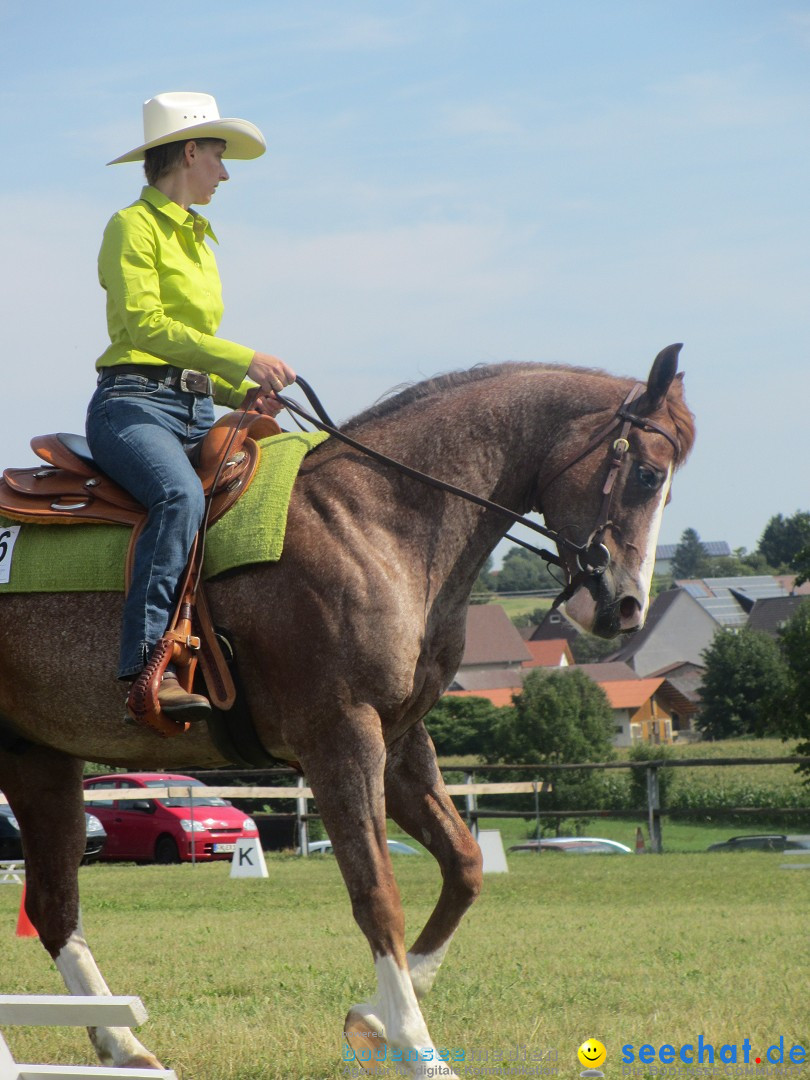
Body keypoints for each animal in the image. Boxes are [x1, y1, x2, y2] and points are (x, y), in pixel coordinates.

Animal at [0, 343, 699, 1071]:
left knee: (54, 905)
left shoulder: (400, 738)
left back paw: (123, 1043)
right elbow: (377, 895)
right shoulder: (341, 738)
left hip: (38, 759)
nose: (626, 608)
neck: (376, 518)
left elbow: (465, 866)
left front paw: (373, 1017)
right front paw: (417, 1046)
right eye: (647, 474)